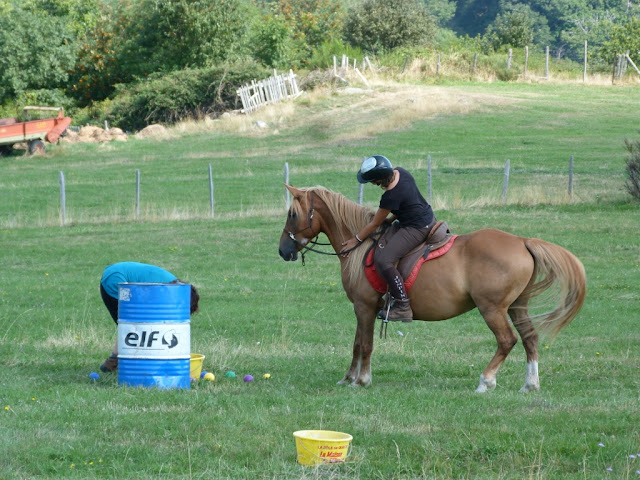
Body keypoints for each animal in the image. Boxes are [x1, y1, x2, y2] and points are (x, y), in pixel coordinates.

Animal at [278, 186, 588, 392]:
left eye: (292, 214)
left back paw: (486, 381)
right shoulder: (363, 308)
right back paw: (530, 384)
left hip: (492, 308)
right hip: (516, 306)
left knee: (507, 340)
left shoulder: (364, 306)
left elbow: (365, 344)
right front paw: (348, 378)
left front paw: (362, 380)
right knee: (530, 338)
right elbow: (357, 343)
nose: (283, 250)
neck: (361, 245)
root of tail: (523, 241)